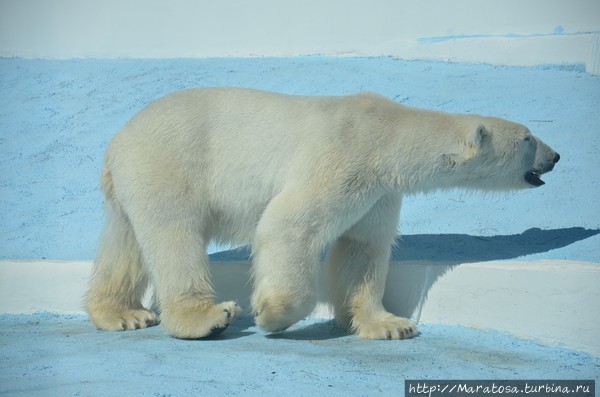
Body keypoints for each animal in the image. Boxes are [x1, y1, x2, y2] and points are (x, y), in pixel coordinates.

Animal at [84, 88, 556, 338]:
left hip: (131, 182)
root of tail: (117, 140)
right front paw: (271, 314)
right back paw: (206, 317)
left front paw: (389, 324)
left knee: (125, 243)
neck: (387, 135)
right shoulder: (344, 156)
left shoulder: (379, 191)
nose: (555, 157)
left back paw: (122, 314)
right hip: (169, 162)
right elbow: (288, 224)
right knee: (174, 235)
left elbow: (363, 248)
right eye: (529, 137)